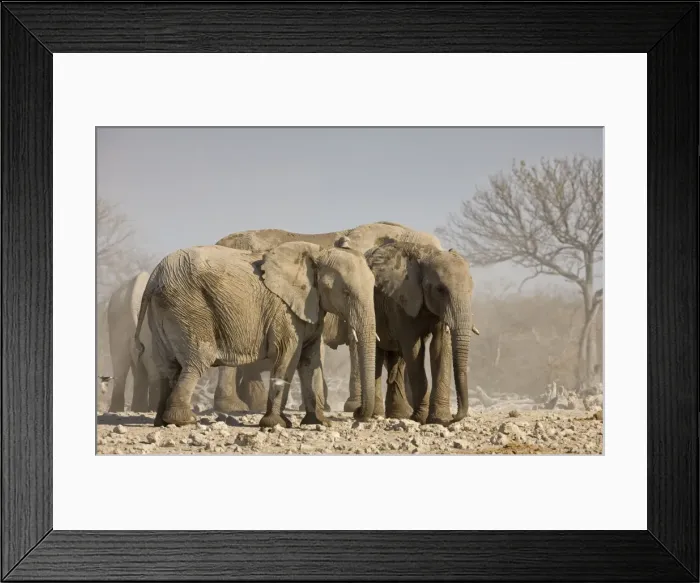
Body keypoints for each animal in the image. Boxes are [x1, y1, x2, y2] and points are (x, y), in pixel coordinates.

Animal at [132, 241, 378, 428]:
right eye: (345, 292)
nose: (358, 413)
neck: (318, 253)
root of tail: (154, 276)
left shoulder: (310, 307)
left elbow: (310, 361)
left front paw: (318, 423)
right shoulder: (284, 311)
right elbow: (288, 357)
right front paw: (277, 424)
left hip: (163, 312)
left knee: (167, 366)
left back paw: (161, 422)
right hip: (188, 307)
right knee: (198, 359)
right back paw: (184, 420)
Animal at [364, 241, 476, 426]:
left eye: (471, 289)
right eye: (440, 289)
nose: (455, 417)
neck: (427, 255)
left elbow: (440, 348)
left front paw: (439, 419)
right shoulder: (401, 300)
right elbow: (414, 349)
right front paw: (421, 418)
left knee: (397, 359)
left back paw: (398, 415)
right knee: (377, 356)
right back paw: (376, 415)